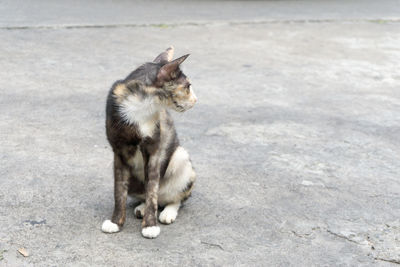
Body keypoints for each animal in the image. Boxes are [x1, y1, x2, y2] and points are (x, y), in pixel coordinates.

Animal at [101, 47, 197, 240]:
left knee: (173, 198)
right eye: (188, 86)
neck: (142, 104)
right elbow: (119, 191)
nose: (196, 99)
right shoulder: (119, 152)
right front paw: (116, 222)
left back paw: (166, 212)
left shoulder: (154, 150)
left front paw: (150, 225)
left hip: (180, 157)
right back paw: (141, 207)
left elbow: (152, 189)